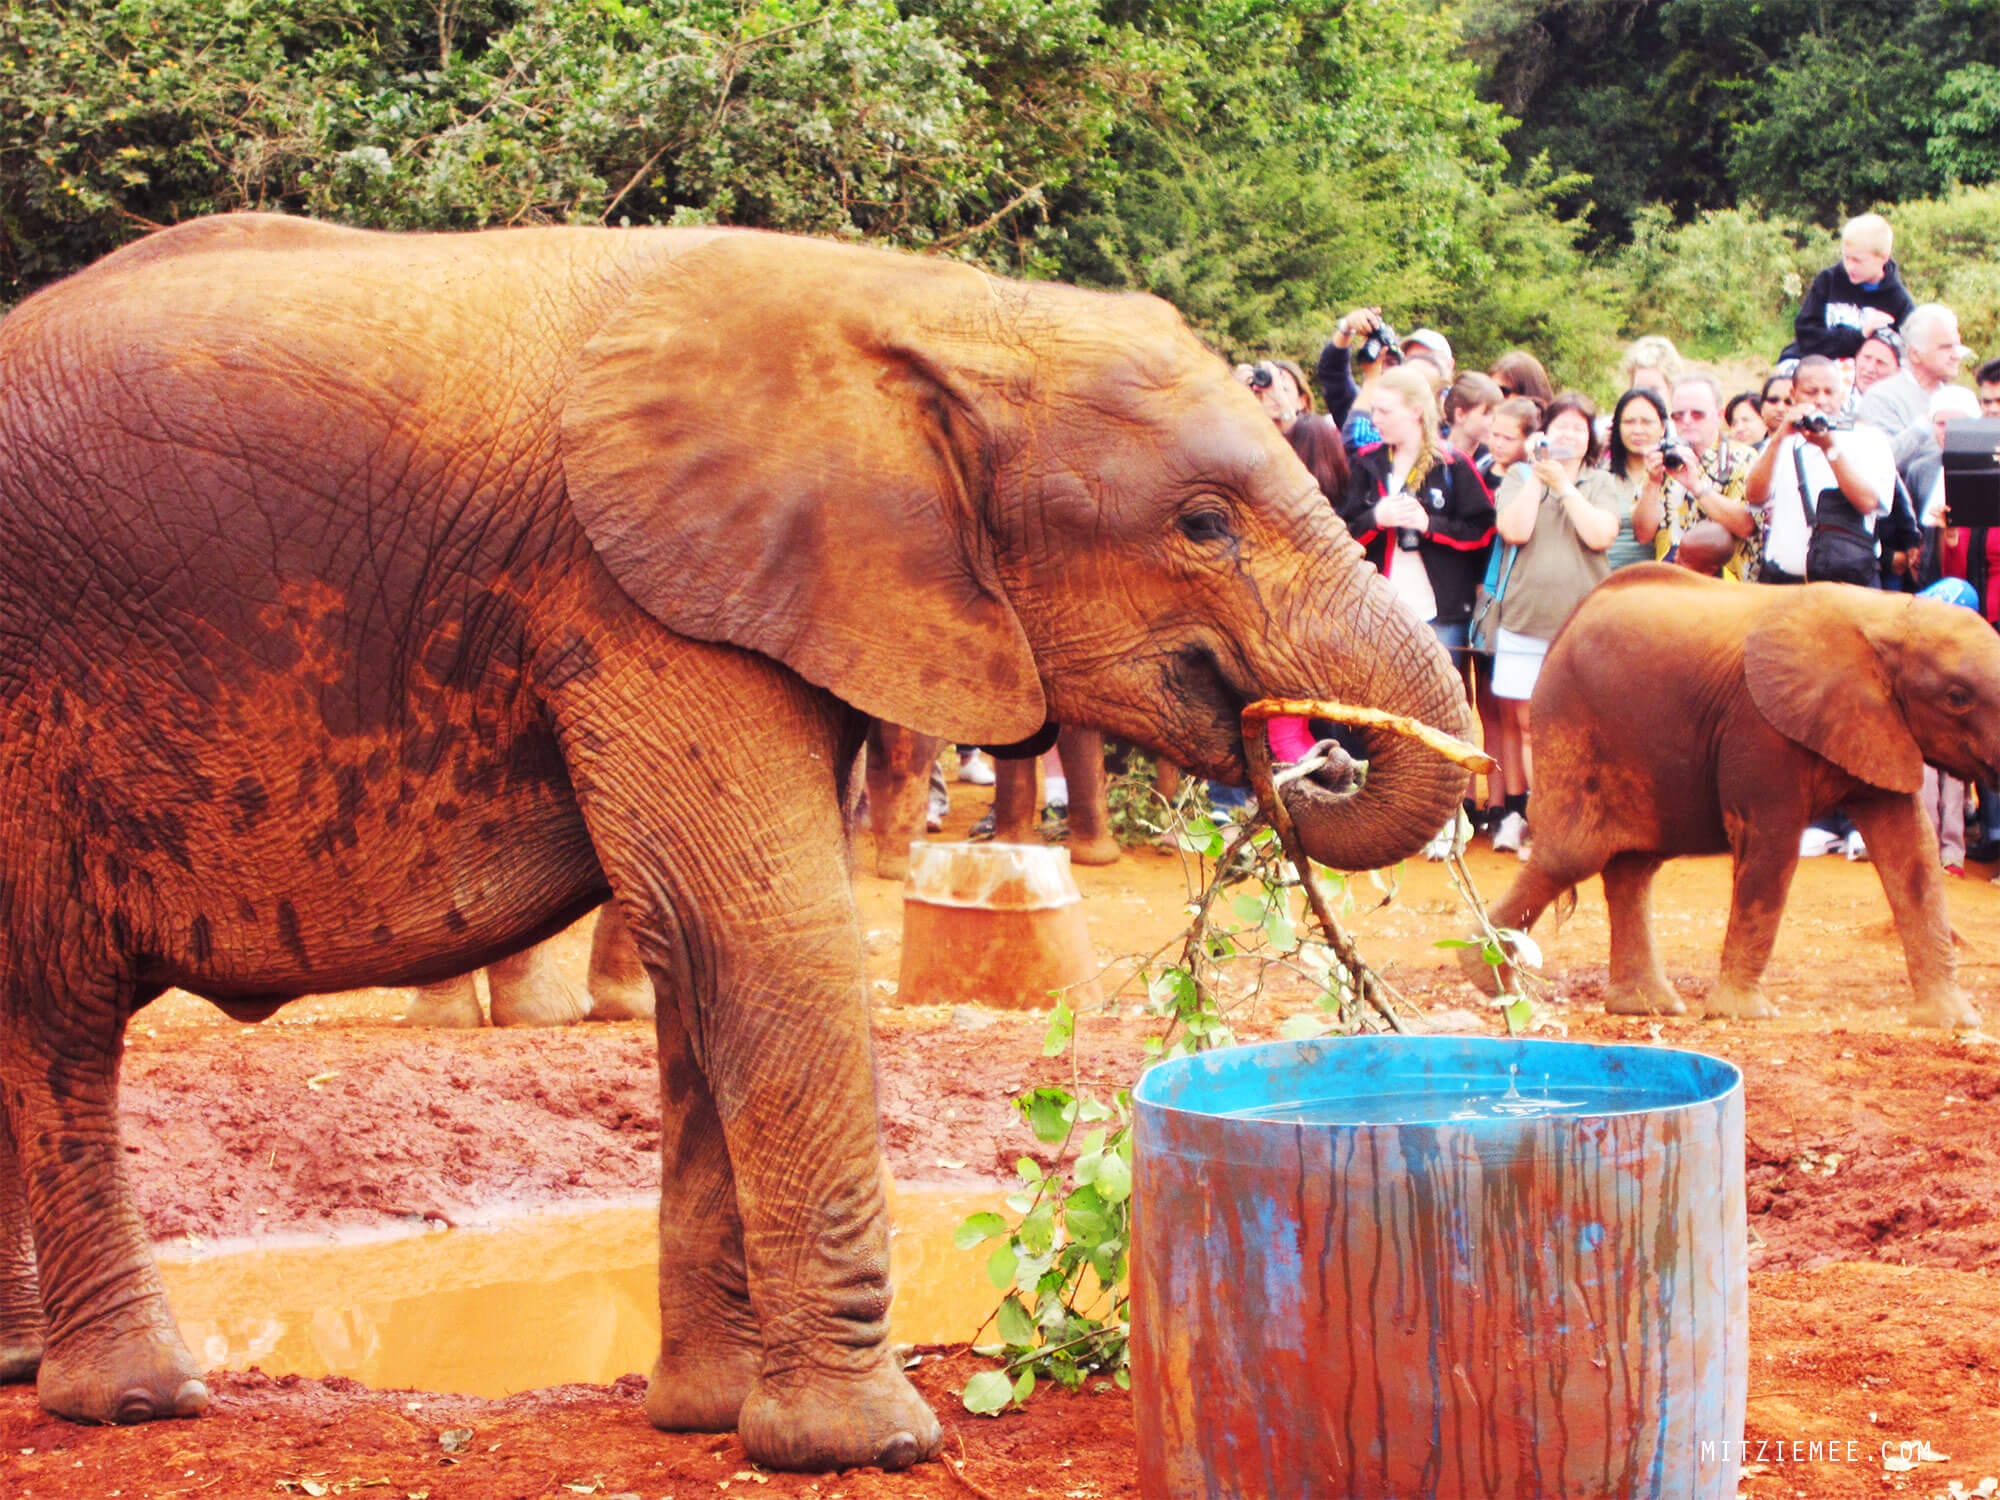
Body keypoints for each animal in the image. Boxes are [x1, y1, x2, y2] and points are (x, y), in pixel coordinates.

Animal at [0, 214, 1471, 1470]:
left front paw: (710, 1420)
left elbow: (699, 954)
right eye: (1202, 524)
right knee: (54, 1020)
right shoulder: (634, 596)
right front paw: (864, 1448)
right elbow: (764, 927)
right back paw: (135, 1399)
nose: (1309, 755)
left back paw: (24, 1370)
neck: (927, 304)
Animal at [1464, 565, 1995, 1029]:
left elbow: (1912, 852)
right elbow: (1772, 846)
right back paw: (1490, 977)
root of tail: (1567, 621)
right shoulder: (1759, 728)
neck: (1885, 613)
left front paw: (1954, 1021)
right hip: (1571, 724)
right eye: (1957, 697)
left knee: (1632, 868)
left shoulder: (1880, 728)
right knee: (1571, 855)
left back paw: (1646, 1007)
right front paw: (1744, 1015)